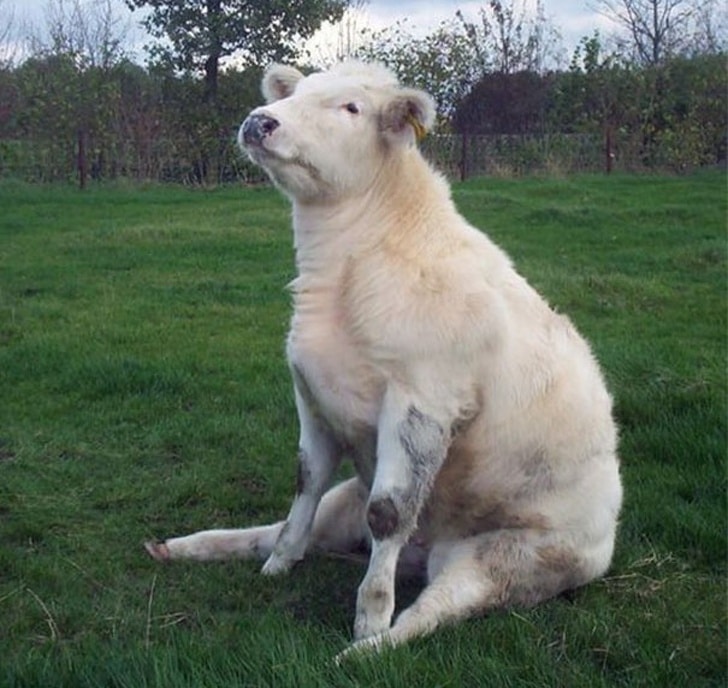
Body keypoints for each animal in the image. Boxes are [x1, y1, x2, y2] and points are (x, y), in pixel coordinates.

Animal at [145, 61, 622, 658]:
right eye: (296, 92)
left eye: (352, 107)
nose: (260, 121)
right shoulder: (311, 391)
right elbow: (304, 481)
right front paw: (281, 563)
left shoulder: (423, 401)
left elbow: (390, 513)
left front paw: (370, 616)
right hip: (348, 503)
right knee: (279, 529)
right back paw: (192, 547)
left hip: (512, 559)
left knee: (436, 608)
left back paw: (365, 652)